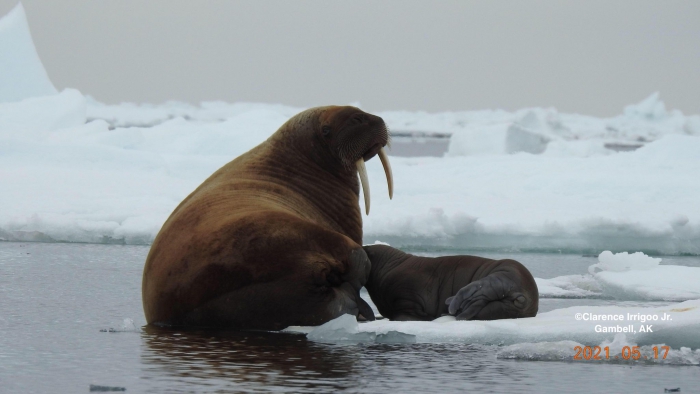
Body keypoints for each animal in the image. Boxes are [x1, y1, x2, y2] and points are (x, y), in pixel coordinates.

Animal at [364, 248, 540, 322]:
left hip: (502, 275)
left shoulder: (406, 294)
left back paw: (453, 307)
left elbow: (406, 312)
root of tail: (525, 297)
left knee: (477, 293)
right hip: (503, 305)